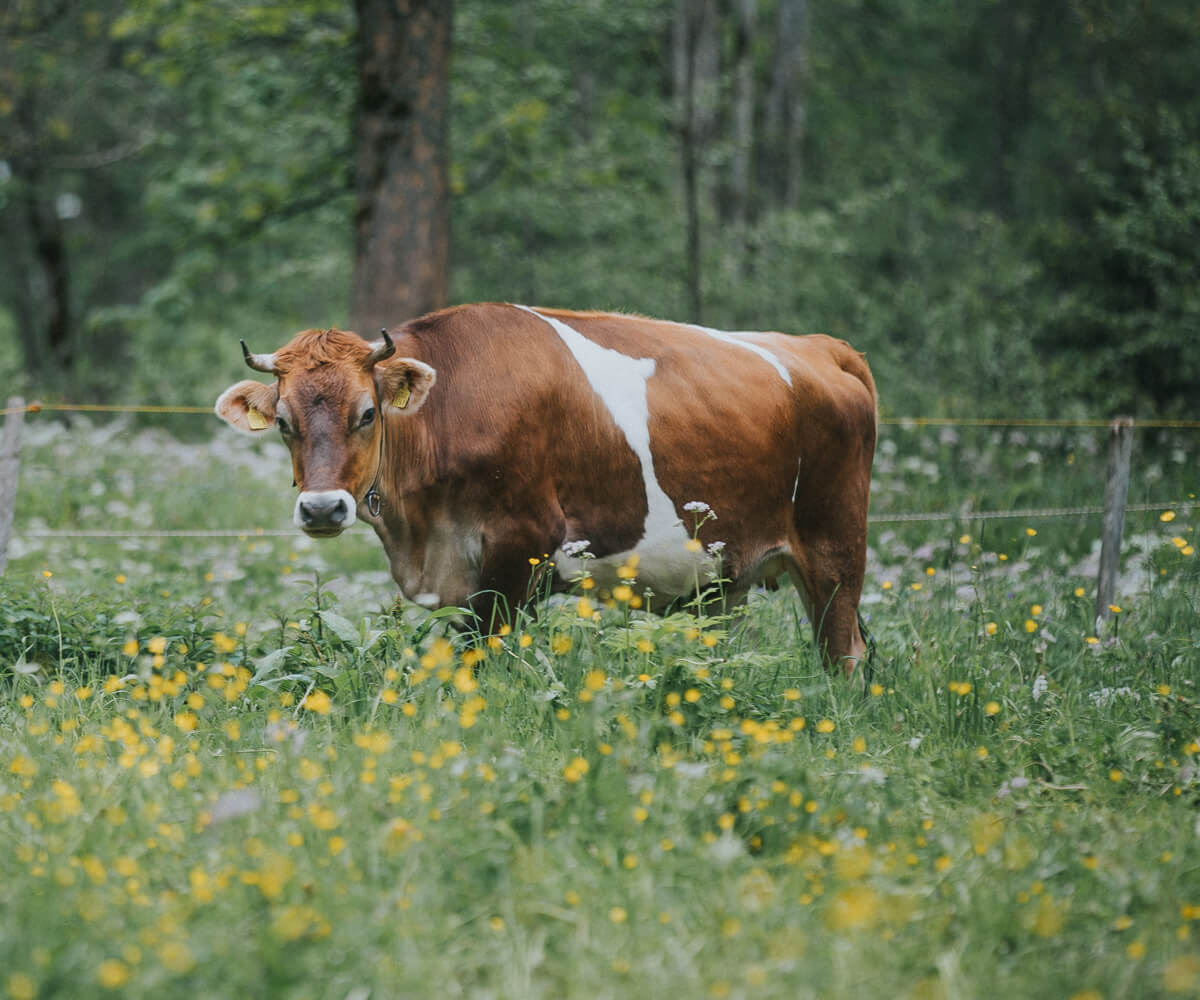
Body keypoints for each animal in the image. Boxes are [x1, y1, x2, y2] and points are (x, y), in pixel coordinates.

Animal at [211, 304, 878, 677]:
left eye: (368, 413)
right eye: (283, 422)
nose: (323, 508)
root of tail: (822, 347)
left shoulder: (519, 547)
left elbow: (485, 656)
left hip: (835, 548)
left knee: (843, 654)